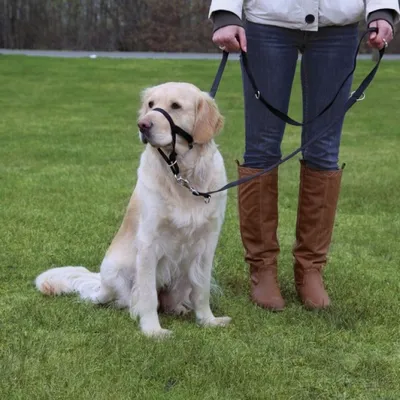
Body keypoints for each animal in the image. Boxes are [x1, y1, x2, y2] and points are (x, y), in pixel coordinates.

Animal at [36, 83, 233, 340]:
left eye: (176, 106)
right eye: (150, 104)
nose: (142, 125)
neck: (182, 176)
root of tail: (101, 285)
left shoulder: (207, 243)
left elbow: (202, 291)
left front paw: (208, 320)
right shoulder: (149, 242)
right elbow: (147, 295)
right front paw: (152, 330)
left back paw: (179, 308)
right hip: (117, 272)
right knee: (131, 301)